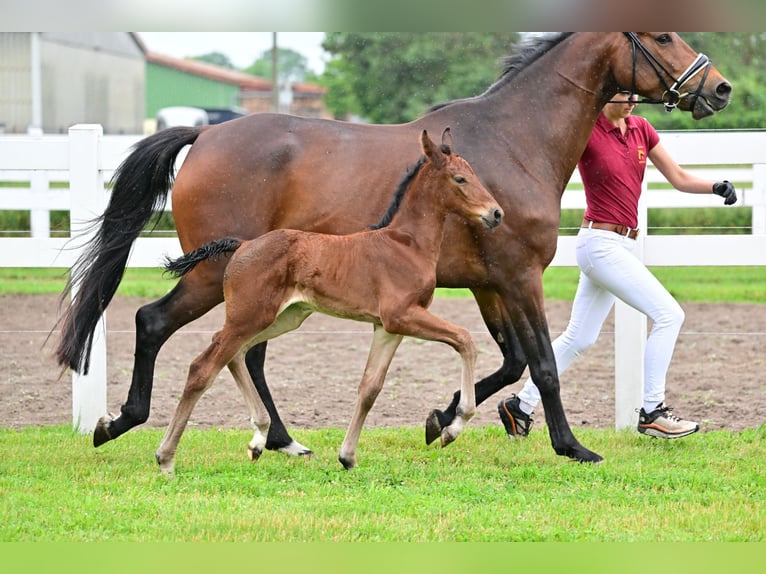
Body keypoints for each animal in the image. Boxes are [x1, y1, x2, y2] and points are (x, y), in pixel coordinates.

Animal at [156, 128, 504, 474]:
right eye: (460, 178)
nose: (496, 213)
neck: (406, 244)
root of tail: (242, 245)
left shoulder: (388, 327)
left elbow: (370, 387)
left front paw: (347, 457)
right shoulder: (401, 315)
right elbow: (465, 339)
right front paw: (452, 428)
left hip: (284, 317)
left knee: (234, 354)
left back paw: (258, 439)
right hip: (250, 317)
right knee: (203, 366)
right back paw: (166, 457)